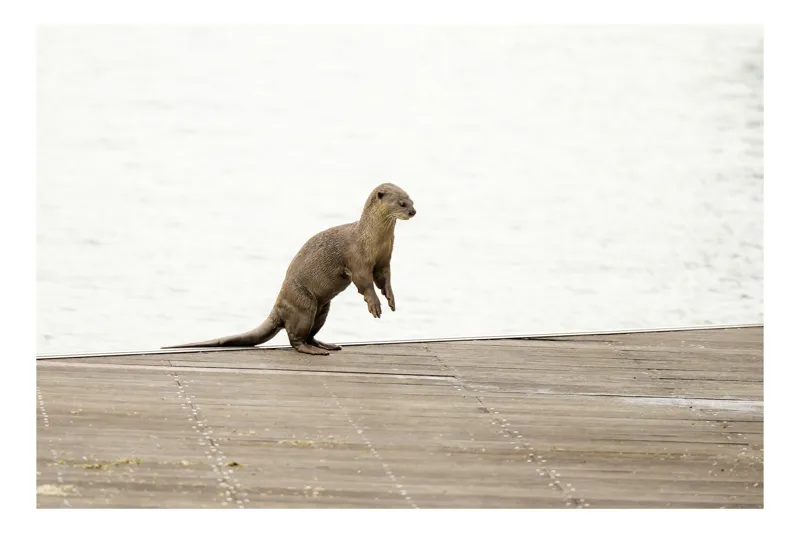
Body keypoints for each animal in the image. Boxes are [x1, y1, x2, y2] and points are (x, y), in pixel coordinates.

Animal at [163, 183, 416, 355]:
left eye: (412, 200)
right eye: (401, 203)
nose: (413, 211)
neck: (372, 239)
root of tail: (279, 307)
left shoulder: (384, 260)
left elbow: (384, 279)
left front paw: (391, 299)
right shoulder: (357, 259)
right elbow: (364, 283)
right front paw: (375, 305)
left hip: (322, 309)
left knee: (310, 333)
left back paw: (325, 345)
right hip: (304, 305)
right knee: (294, 338)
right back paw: (314, 350)